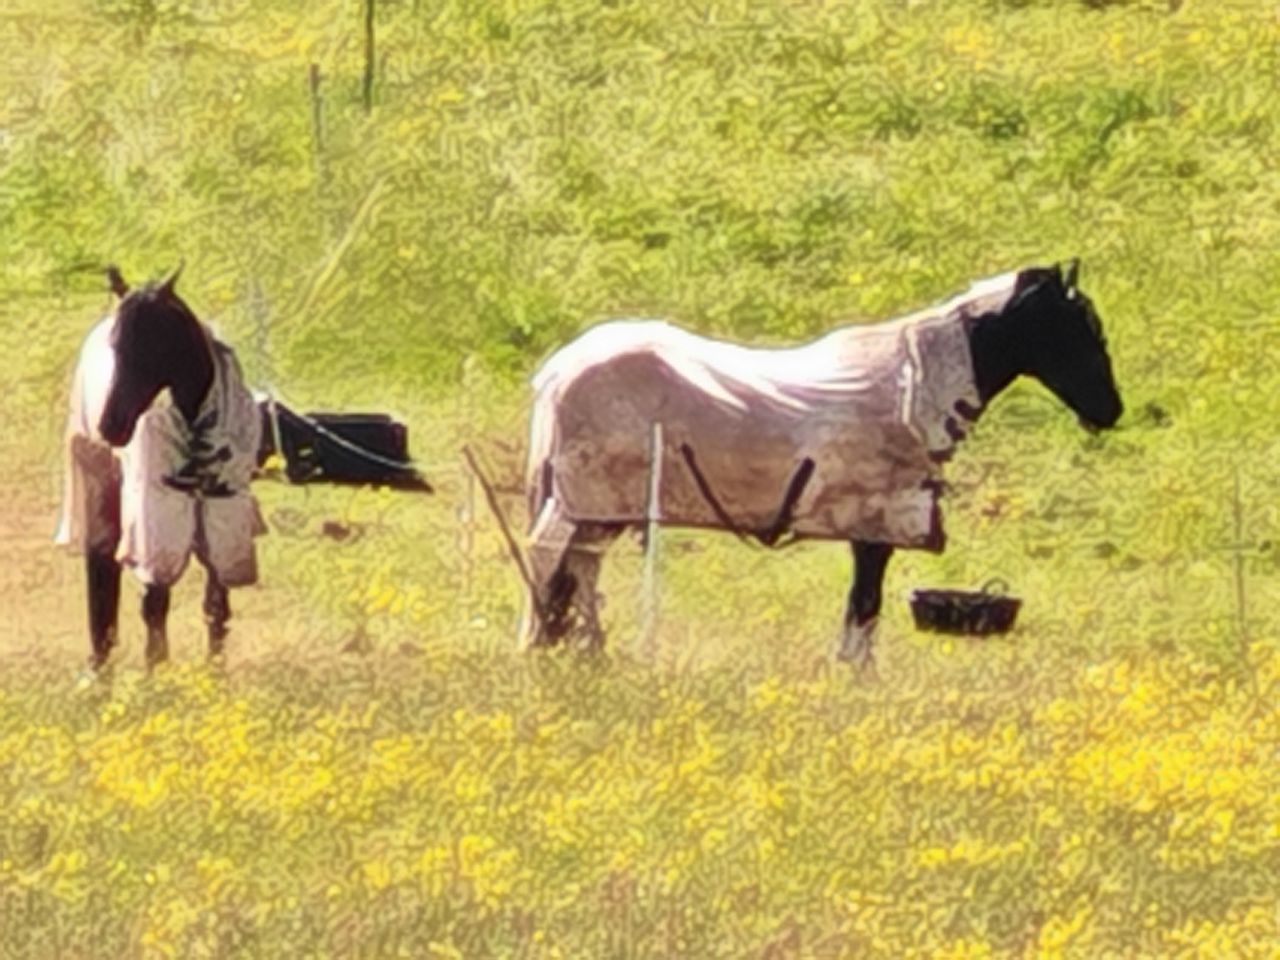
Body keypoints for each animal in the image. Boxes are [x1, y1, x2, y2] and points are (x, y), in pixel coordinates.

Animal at [56, 266, 266, 672]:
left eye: (154, 343)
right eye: (116, 345)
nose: (111, 425)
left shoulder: (224, 517)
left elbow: (216, 605)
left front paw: (216, 674)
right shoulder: (155, 518)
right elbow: (155, 603)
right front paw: (158, 674)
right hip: (100, 486)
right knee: (102, 571)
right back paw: (100, 666)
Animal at [520, 260, 1123, 667]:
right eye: (1075, 327)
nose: (1111, 410)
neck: (912, 388)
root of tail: (560, 370)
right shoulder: (875, 528)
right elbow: (865, 606)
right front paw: (857, 678)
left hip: (598, 508)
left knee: (579, 568)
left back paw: (583, 654)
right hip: (584, 500)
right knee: (552, 560)